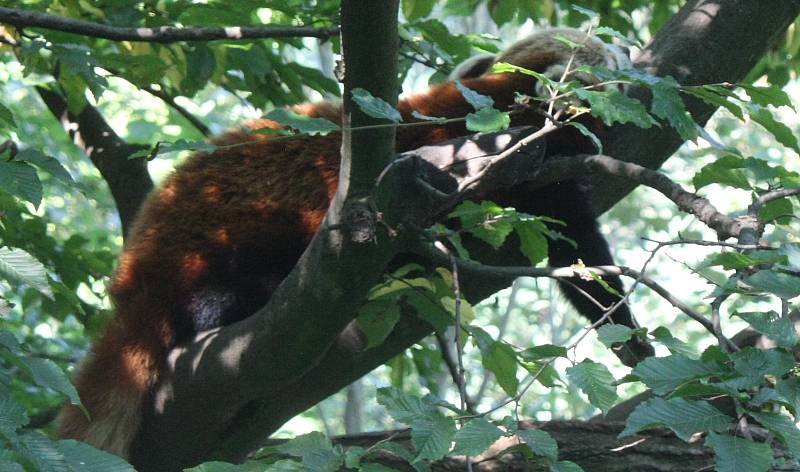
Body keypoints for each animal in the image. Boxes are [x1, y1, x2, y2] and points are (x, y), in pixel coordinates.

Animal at [61, 27, 648, 460]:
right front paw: (633, 338)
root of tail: (136, 273)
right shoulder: (513, 171)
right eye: (612, 56)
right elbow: (581, 258)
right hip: (231, 237)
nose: (634, 48)